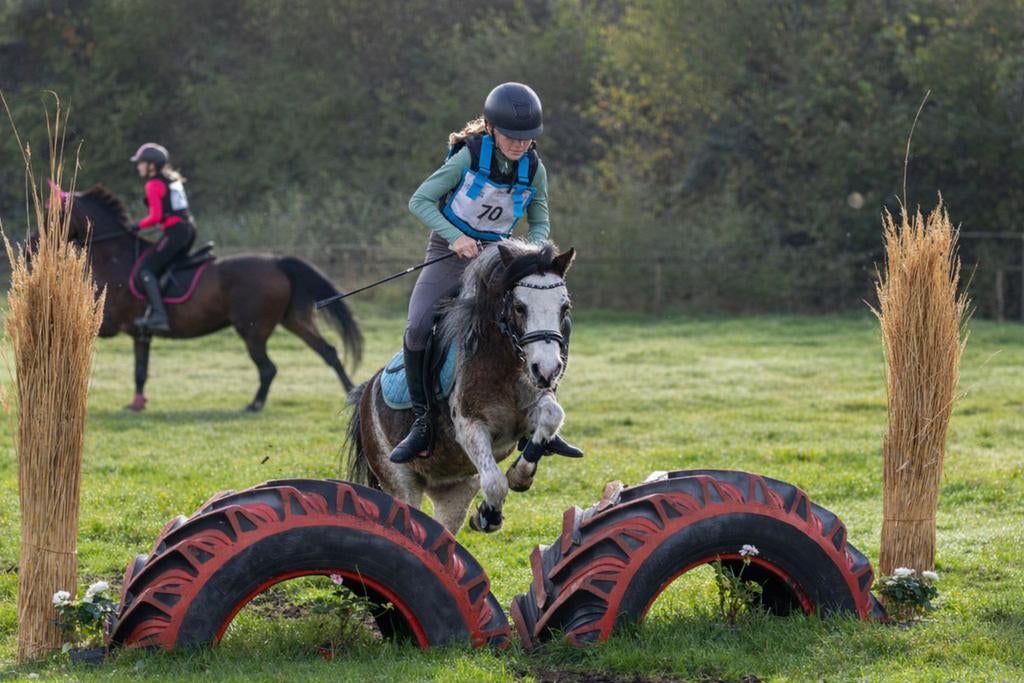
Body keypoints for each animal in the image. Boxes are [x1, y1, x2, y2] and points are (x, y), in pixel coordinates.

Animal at [55, 184, 362, 412]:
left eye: (56, 212)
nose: (44, 240)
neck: (116, 256)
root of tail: (276, 261)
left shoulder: (111, 324)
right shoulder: (139, 333)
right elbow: (140, 370)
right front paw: (137, 404)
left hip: (253, 331)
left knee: (269, 368)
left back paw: (255, 404)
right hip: (293, 319)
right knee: (327, 351)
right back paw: (350, 391)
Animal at [346, 240, 576, 533]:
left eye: (564, 308)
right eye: (519, 307)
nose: (547, 370)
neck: (504, 364)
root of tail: (366, 391)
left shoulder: (533, 409)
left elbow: (551, 417)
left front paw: (519, 477)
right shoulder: (469, 426)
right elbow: (494, 482)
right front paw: (487, 515)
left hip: (455, 491)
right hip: (400, 482)